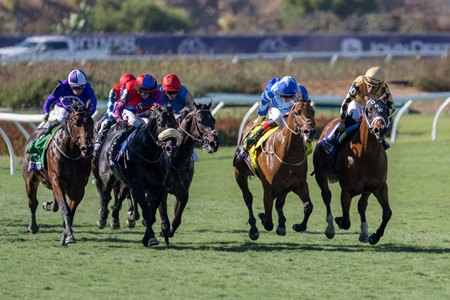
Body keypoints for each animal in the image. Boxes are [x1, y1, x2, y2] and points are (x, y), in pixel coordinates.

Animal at [22, 101, 94, 246]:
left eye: (91, 122)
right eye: (76, 123)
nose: (87, 148)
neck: (71, 153)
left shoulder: (79, 189)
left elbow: (70, 212)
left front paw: (66, 237)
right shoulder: (57, 180)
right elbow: (65, 209)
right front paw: (69, 236)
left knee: (53, 204)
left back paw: (49, 205)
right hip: (30, 181)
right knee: (33, 203)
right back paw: (33, 227)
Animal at [92, 105, 179, 246]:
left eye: (175, 124)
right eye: (160, 123)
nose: (172, 148)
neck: (148, 154)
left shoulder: (159, 187)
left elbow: (151, 213)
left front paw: (147, 237)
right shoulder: (138, 184)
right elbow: (147, 211)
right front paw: (151, 238)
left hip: (125, 181)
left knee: (120, 195)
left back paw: (115, 215)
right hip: (107, 177)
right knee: (105, 196)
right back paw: (102, 218)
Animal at [158, 103, 220, 239]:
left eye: (213, 120)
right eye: (199, 120)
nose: (214, 143)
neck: (176, 160)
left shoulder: (183, 193)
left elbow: (176, 219)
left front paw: (169, 232)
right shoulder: (161, 191)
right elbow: (163, 216)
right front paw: (164, 230)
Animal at [234, 101, 314, 241]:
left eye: (313, 111)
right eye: (297, 112)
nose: (309, 131)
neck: (288, 154)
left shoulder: (297, 184)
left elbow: (308, 206)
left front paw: (298, 226)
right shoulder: (269, 190)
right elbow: (268, 222)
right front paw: (262, 217)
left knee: (279, 204)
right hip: (239, 173)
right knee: (248, 197)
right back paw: (253, 229)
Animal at [314, 97, 392, 245]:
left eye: (386, 109)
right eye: (369, 110)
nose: (380, 129)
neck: (366, 155)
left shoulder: (378, 186)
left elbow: (387, 213)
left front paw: (373, 236)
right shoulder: (346, 191)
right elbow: (345, 222)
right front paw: (338, 221)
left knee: (362, 205)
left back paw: (364, 233)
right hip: (320, 174)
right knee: (326, 196)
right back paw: (330, 228)